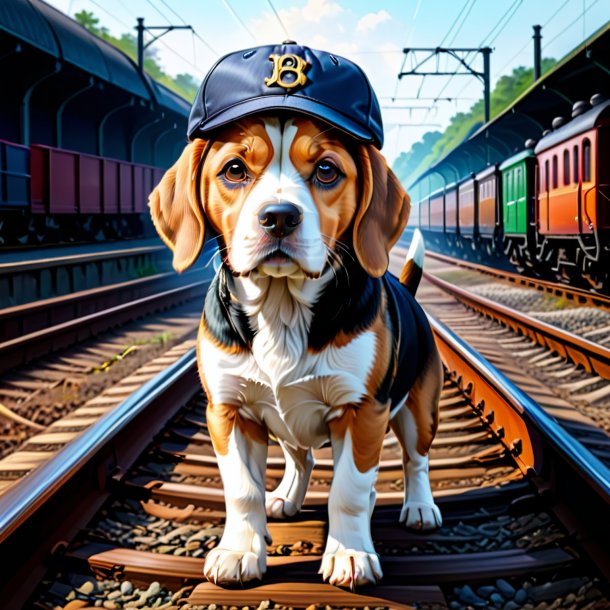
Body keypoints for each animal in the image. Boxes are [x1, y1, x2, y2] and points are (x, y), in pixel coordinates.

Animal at [148, 113, 442, 584]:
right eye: (234, 170)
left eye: (326, 170)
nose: (279, 217)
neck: (281, 310)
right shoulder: (228, 412)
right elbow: (241, 489)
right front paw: (239, 550)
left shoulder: (363, 413)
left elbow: (349, 489)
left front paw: (350, 554)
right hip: (281, 420)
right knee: (301, 460)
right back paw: (286, 496)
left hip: (419, 409)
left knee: (415, 459)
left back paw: (418, 506)